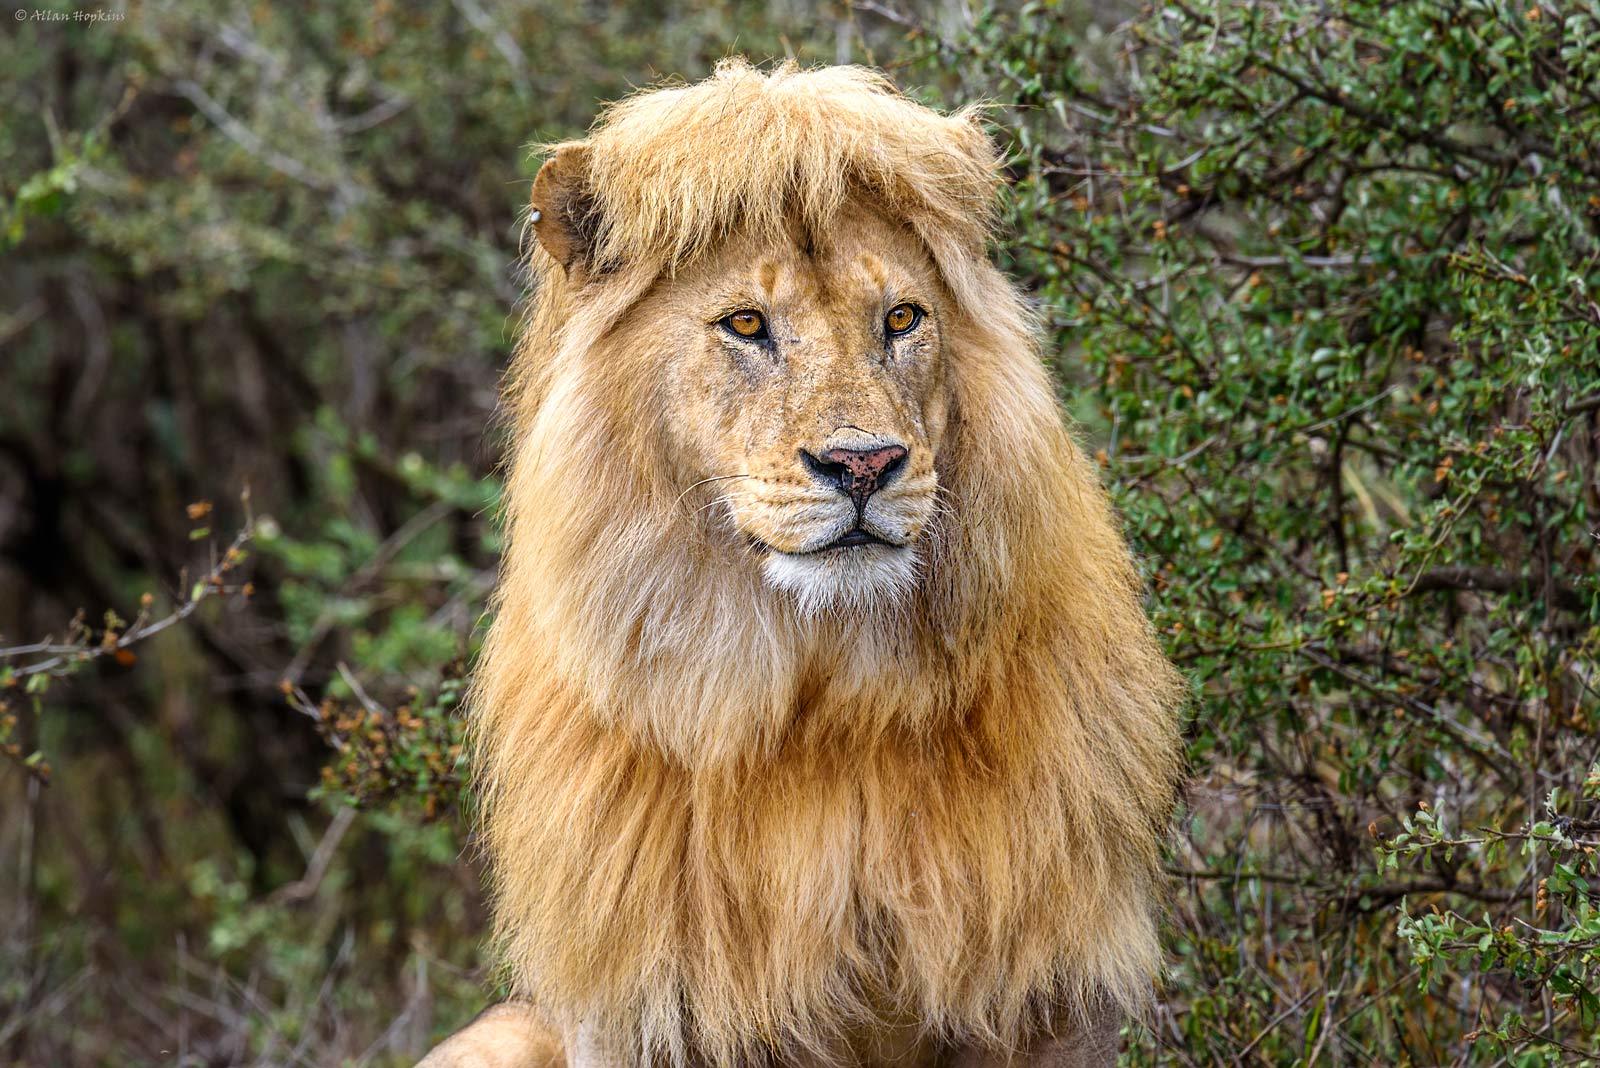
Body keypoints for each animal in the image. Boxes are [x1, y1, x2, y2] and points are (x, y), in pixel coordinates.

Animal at [418, 59, 1185, 1068]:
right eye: (747, 323)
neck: (822, 699)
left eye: (901, 318)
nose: (864, 465)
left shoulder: (1047, 1001)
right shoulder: (641, 1016)